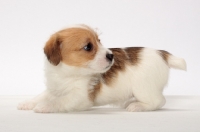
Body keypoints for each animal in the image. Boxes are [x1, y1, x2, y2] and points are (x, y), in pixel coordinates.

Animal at [17, 24, 186, 112]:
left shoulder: (80, 97)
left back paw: (136, 106)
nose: (111, 55)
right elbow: (42, 95)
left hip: (144, 88)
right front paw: (28, 103)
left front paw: (45, 106)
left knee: (159, 101)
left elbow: (60, 101)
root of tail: (162, 53)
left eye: (99, 41)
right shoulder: (54, 89)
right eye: (88, 47)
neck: (68, 73)